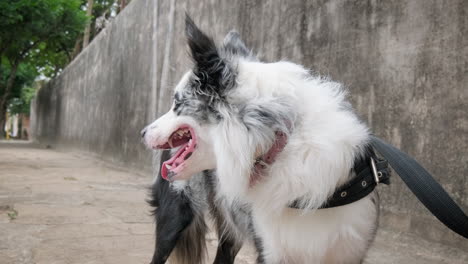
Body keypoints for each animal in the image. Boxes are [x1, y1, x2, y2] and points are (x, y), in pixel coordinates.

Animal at [144, 16, 380, 264]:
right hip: (176, 212)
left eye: (177, 104)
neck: (284, 140)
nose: (143, 132)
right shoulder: (270, 247)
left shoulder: (349, 248)